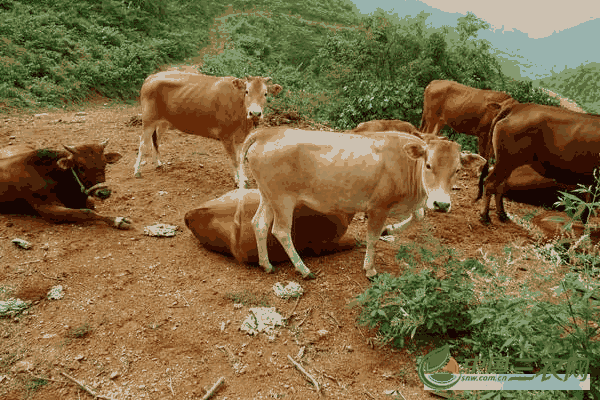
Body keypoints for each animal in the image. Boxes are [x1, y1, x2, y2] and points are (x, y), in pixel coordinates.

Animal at [0, 140, 131, 228]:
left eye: (104, 164)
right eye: (81, 168)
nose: (104, 192)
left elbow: (91, 205)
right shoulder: (46, 208)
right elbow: (86, 212)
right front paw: (118, 220)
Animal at [132, 70, 282, 188]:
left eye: (266, 94)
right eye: (247, 91)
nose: (255, 113)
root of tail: (151, 77)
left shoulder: (242, 136)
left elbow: (241, 158)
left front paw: (244, 178)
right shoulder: (226, 135)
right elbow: (234, 160)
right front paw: (239, 182)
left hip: (163, 122)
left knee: (156, 140)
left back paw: (158, 163)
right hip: (148, 119)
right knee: (143, 144)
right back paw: (137, 171)